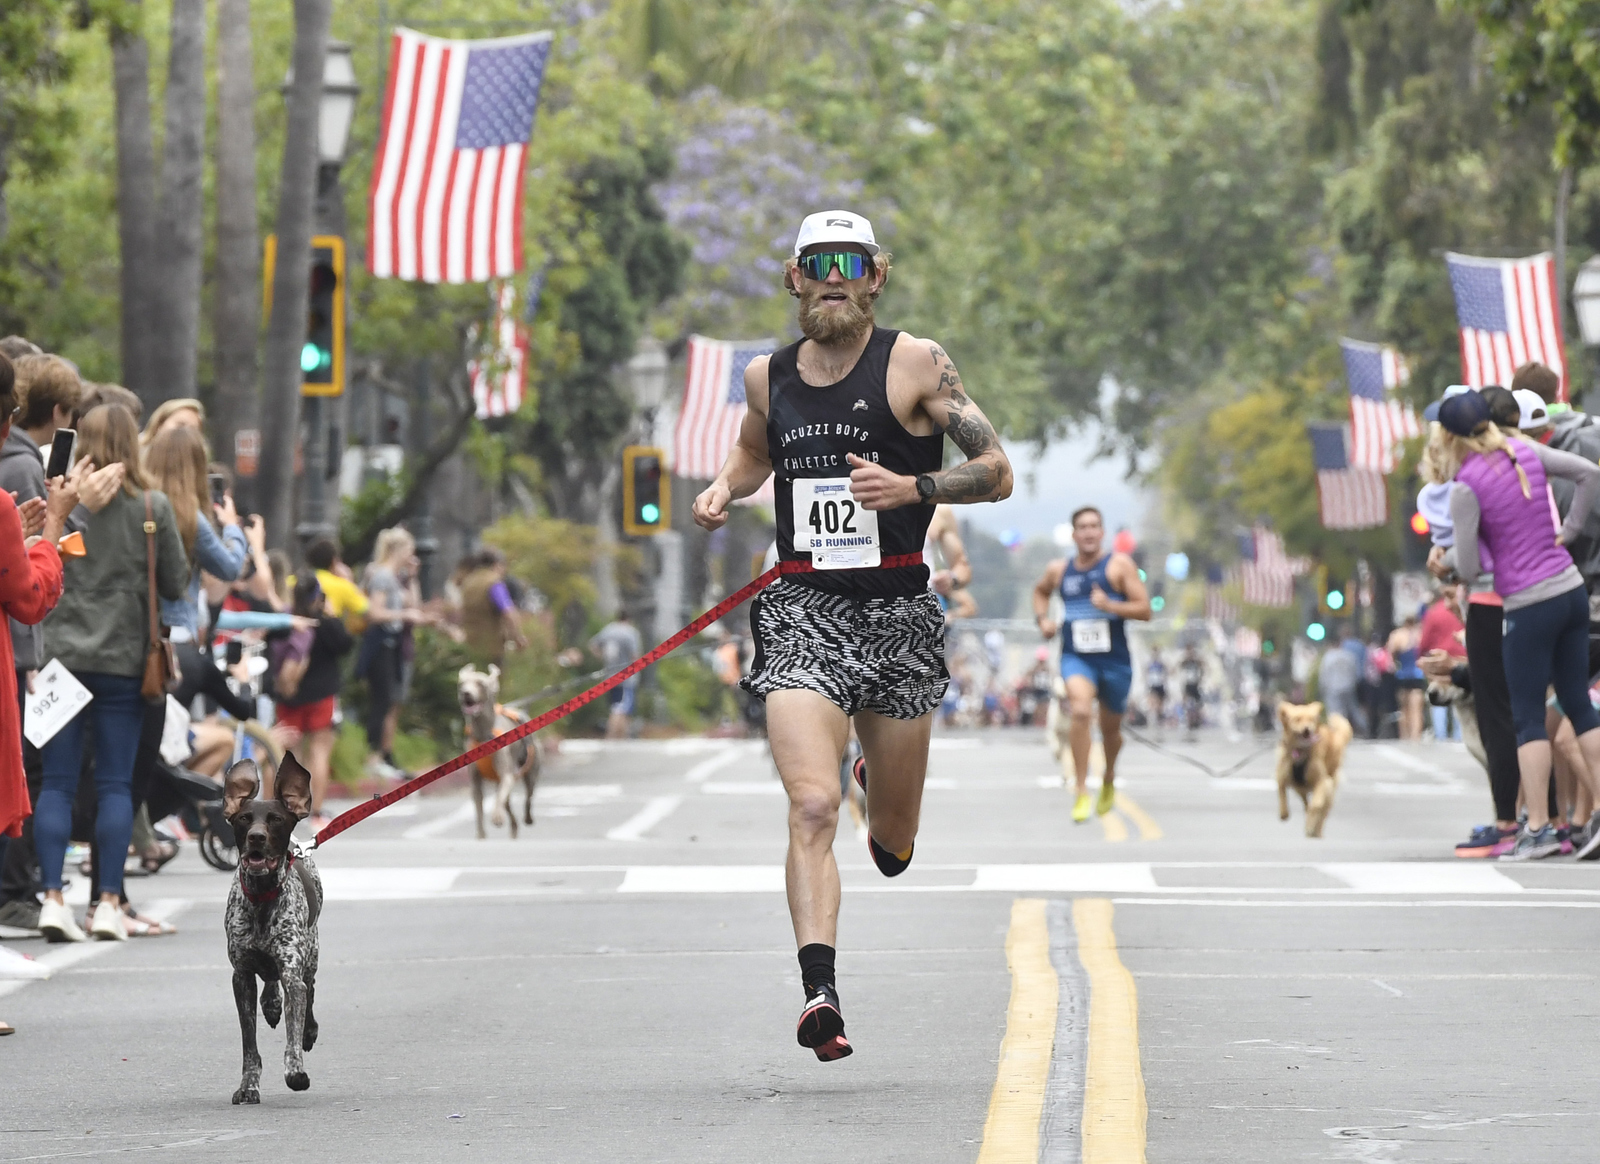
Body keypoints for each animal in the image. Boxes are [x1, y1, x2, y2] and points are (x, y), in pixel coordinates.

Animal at [1273, 700, 1350, 837]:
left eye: (1311, 719)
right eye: (1297, 719)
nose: (1307, 729)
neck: (1300, 751)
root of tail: (1335, 736)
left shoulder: (1322, 781)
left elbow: (1316, 806)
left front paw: (1311, 822)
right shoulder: (1282, 776)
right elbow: (1282, 793)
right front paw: (1284, 813)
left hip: (1329, 788)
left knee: (1321, 813)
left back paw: (1314, 830)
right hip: (1299, 787)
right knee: (1305, 801)